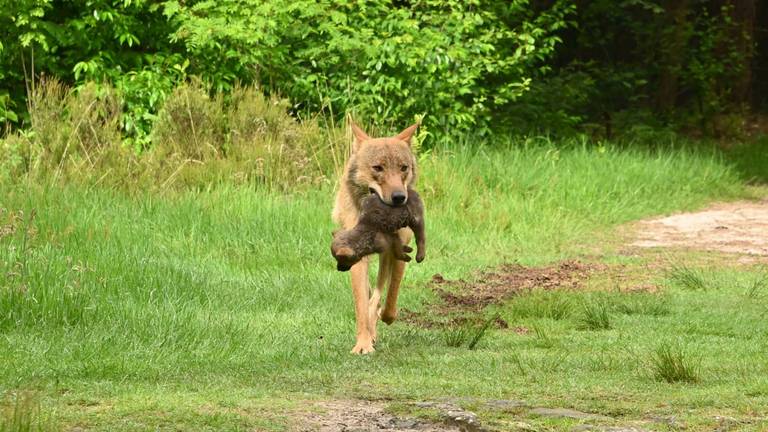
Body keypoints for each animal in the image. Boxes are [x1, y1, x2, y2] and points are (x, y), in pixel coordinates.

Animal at [332, 120, 420, 352]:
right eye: (378, 168)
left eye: (403, 168)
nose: (399, 197)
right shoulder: (357, 256)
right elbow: (362, 305)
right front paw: (363, 344)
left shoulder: (399, 253)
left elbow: (389, 300)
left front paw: (381, 320)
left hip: (386, 256)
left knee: (380, 292)